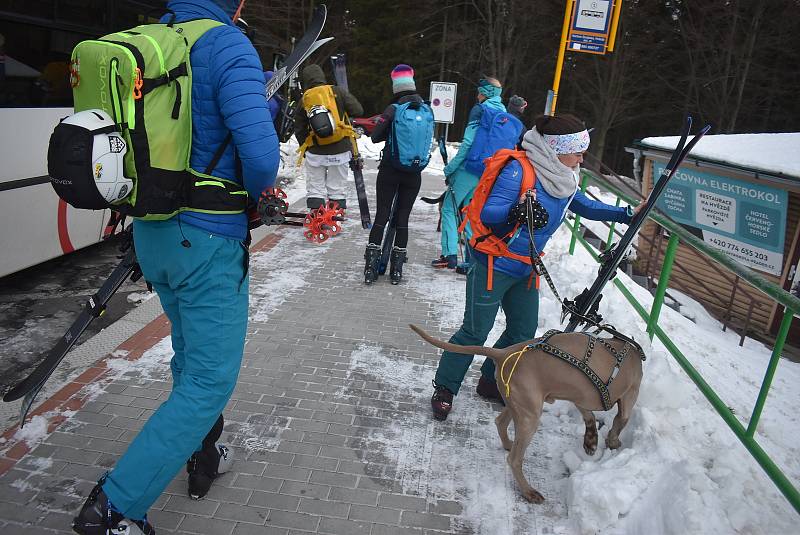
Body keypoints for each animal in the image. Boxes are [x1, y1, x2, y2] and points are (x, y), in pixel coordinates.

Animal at [410, 324, 648, 504]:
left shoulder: (580, 396)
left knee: (500, 422)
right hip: (530, 415)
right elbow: (621, 420)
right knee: (514, 459)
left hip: (518, 403)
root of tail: (503, 353)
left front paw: (591, 441)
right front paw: (613, 442)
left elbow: (588, 415)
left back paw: (509, 443)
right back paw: (528, 491)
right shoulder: (630, 394)